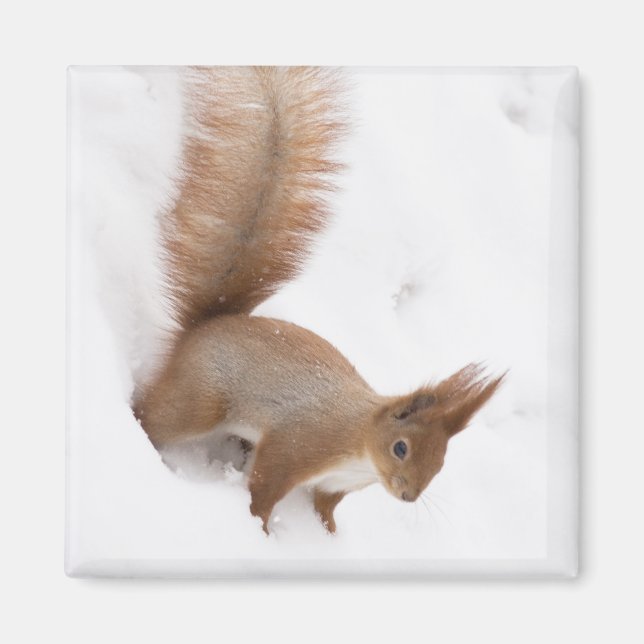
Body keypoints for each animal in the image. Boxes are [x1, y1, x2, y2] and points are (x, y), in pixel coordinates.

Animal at [133, 66, 504, 534]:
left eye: (440, 463)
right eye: (401, 448)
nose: (407, 496)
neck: (360, 449)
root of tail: (210, 324)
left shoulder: (335, 486)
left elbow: (326, 508)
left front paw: (329, 535)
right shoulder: (297, 447)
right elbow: (264, 489)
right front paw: (261, 531)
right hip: (201, 399)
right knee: (155, 415)